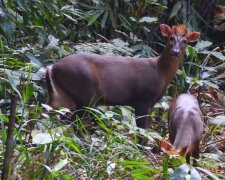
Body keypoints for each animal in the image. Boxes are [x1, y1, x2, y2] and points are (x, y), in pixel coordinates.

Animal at [44, 23, 200, 129]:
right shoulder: (142, 99)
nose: (175, 52)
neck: (160, 73)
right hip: (86, 93)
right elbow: (141, 131)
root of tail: (52, 68)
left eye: (185, 41)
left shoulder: (151, 103)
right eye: (171, 38)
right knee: (74, 123)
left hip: (61, 96)